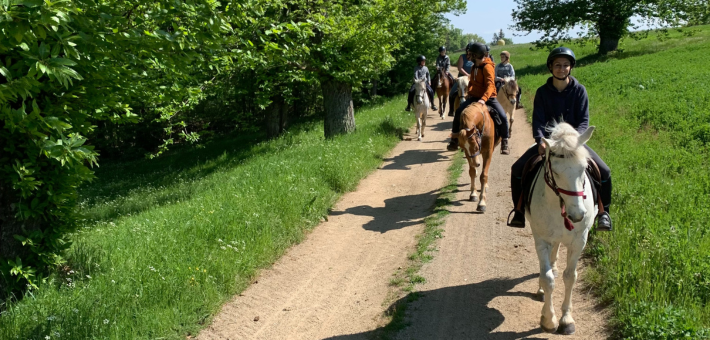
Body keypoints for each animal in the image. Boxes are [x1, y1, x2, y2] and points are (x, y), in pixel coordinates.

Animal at [532, 121, 596, 334]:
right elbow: (548, 278)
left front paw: (566, 320)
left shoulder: (579, 241)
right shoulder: (542, 239)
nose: (577, 215)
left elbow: (570, 277)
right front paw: (548, 319)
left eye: (584, 168)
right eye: (557, 172)